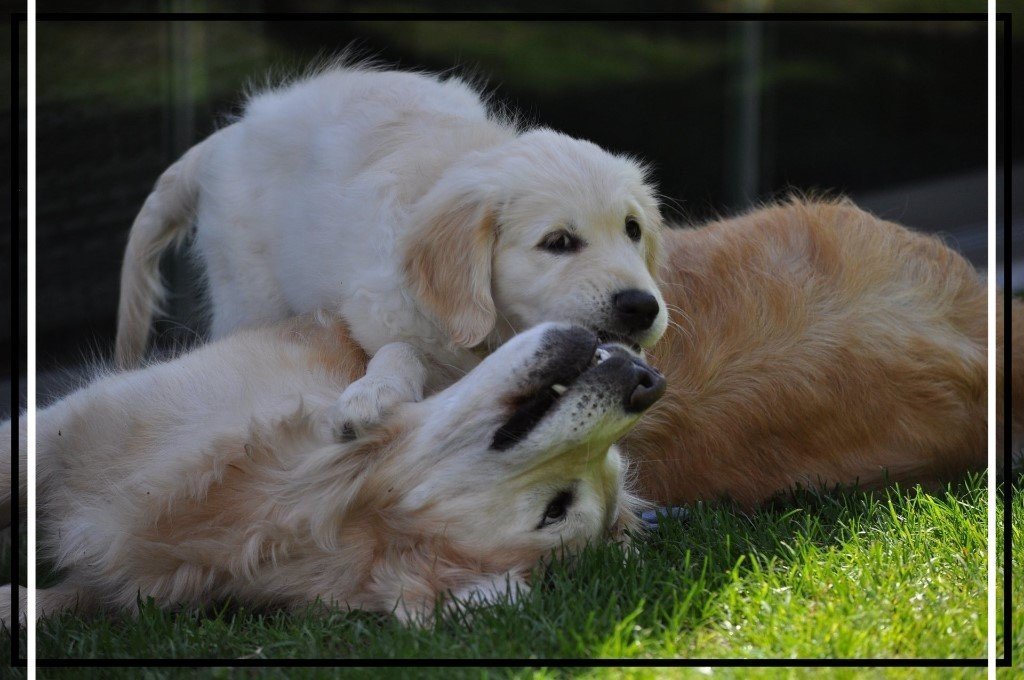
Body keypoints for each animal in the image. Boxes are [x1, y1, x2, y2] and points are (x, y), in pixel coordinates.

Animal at [114, 62, 667, 439]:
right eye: (558, 242)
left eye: (633, 230)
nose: (643, 307)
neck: (488, 334)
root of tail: (234, 133)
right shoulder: (379, 310)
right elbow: (398, 350)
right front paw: (371, 396)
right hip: (250, 296)